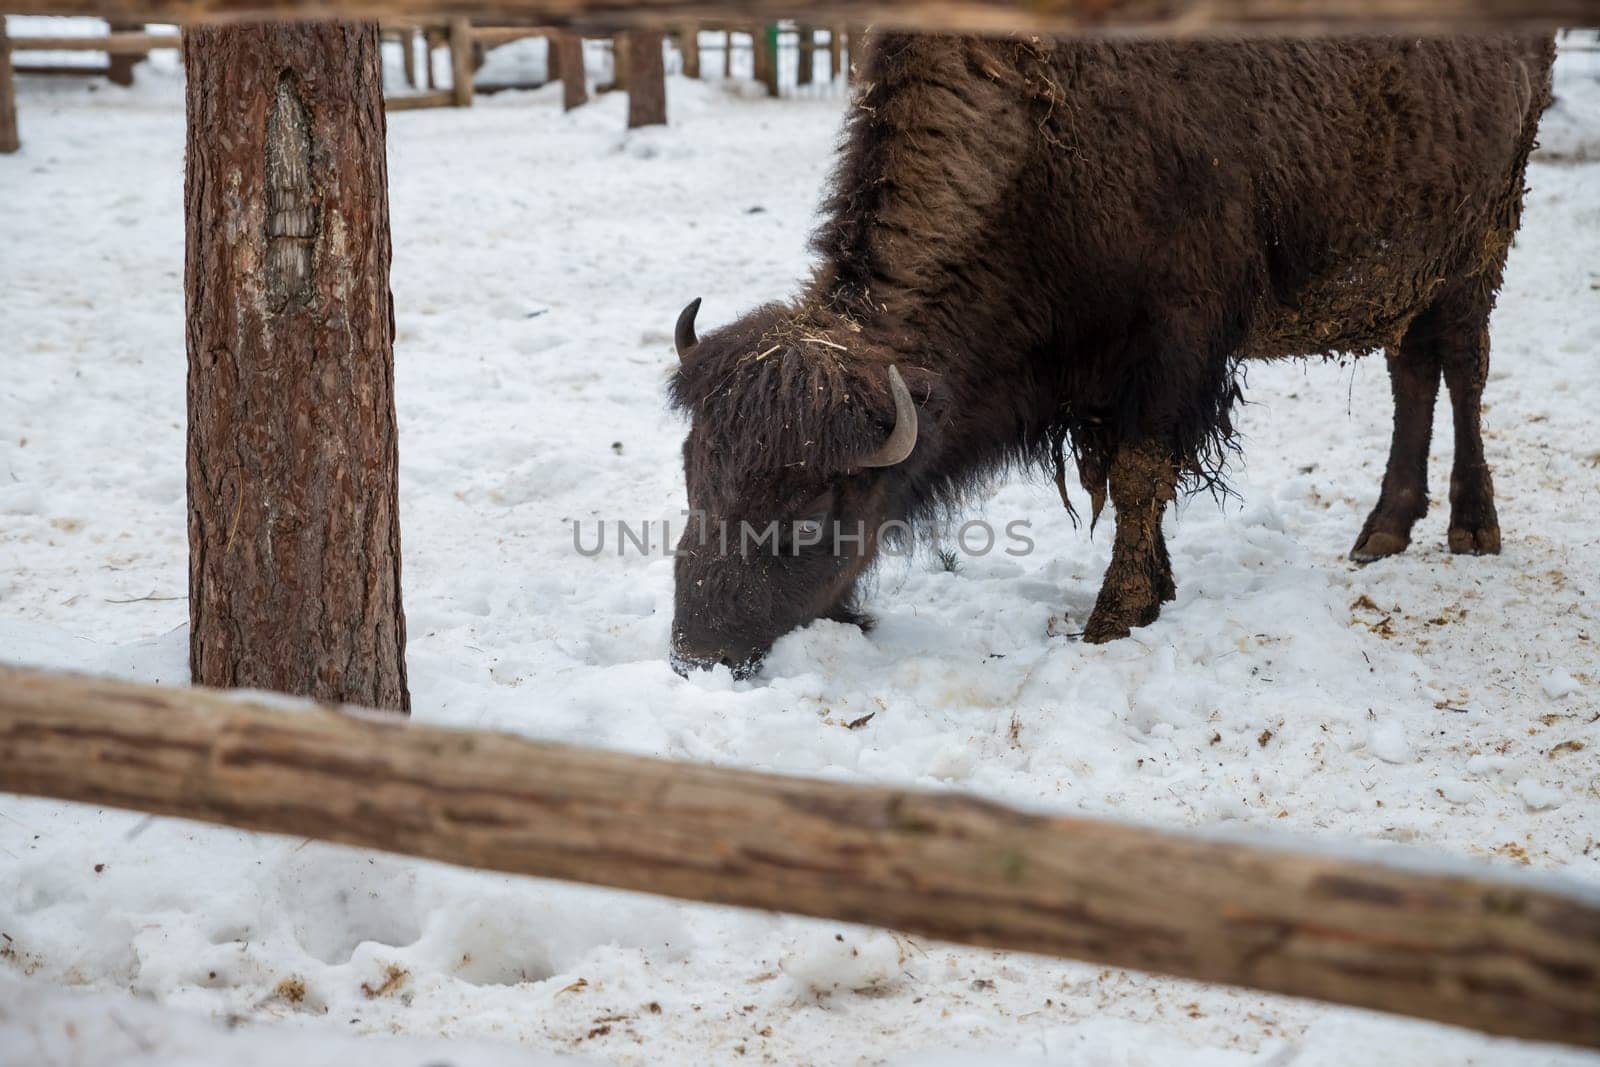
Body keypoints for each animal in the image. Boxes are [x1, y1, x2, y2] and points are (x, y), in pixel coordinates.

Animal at [672, 37, 1548, 681]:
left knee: (1463, 369)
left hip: (1477, 250)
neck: (1043, 138)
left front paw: (1113, 616)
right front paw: (1157, 591)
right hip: (1412, 280)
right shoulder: (1099, 381)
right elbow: (1127, 481)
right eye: (694, 477)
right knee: (1413, 375)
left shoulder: (1170, 350)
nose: (696, 653)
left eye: (812, 510)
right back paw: (1383, 530)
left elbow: (1138, 476)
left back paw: (1471, 527)